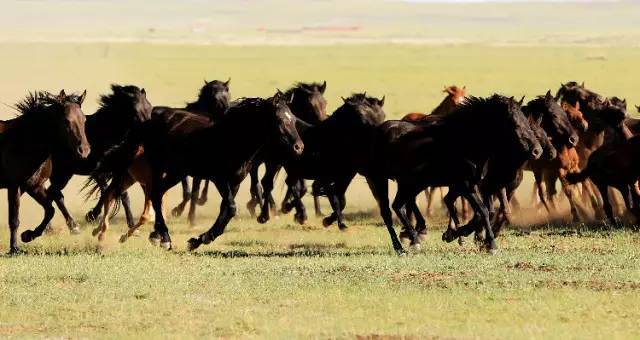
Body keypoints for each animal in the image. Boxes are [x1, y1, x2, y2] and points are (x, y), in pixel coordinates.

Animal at [0, 90, 90, 252]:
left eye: (84, 119)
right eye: (66, 121)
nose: (84, 150)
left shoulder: (34, 185)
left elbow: (50, 210)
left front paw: (28, 235)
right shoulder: (14, 186)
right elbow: (14, 219)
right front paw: (14, 248)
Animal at [48, 86, 151, 232]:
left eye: (150, 108)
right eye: (136, 112)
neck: (105, 132)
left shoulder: (117, 171)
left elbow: (115, 193)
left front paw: (92, 215)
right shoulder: (98, 172)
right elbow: (113, 192)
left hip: (64, 173)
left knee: (51, 192)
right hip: (60, 173)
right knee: (52, 193)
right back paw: (68, 226)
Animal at [87, 90, 302, 250]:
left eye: (293, 119)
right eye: (279, 120)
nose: (299, 147)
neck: (232, 138)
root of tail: (149, 120)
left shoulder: (235, 182)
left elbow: (226, 211)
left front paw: (198, 240)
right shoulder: (219, 179)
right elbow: (231, 208)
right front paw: (200, 239)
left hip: (175, 172)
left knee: (157, 194)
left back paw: (156, 235)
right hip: (160, 167)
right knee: (155, 195)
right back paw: (164, 239)